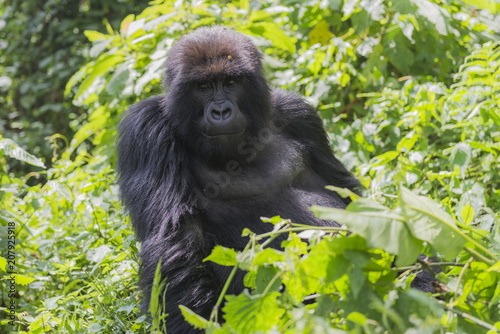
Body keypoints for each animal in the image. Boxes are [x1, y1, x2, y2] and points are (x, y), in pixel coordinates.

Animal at [117, 26, 362, 334]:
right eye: (203, 87)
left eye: (231, 82)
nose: (221, 112)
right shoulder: (146, 130)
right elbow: (176, 235)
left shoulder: (299, 115)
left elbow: (345, 190)